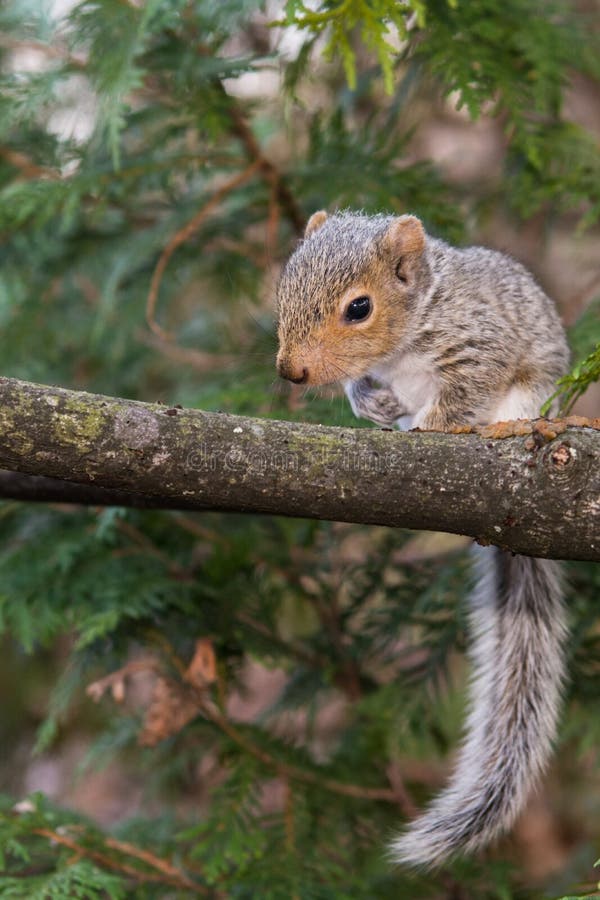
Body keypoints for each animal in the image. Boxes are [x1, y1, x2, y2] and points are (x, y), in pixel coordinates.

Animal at [275, 210, 570, 867]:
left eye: (359, 307)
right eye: (283, 285)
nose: (291, 371)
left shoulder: (477, 342)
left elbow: (462, 395)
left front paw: (428, 427)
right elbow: (367, 391)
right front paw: (373, 402)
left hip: (535, 398)